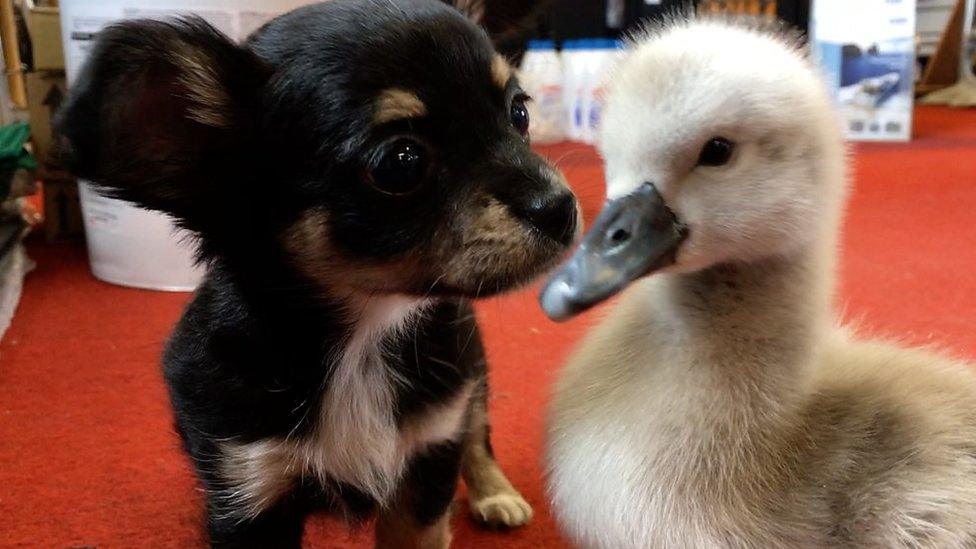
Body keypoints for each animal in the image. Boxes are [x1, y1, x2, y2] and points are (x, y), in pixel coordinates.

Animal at [55, 2, 580, 544]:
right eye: (401, 162)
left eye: (519, 113)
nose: (561, 207)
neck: (363, 343)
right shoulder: (249, 485)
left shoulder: (429, 458)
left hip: (470, 373)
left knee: (477, 431)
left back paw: (495, 492)